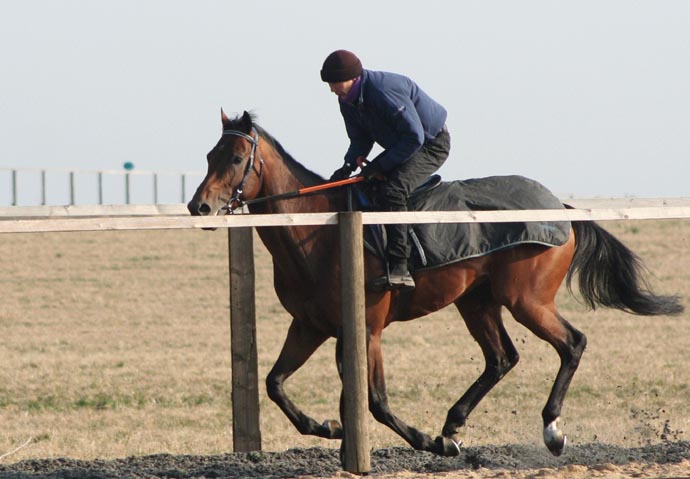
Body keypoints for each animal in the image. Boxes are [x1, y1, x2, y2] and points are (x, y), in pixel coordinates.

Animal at [188, 110, 684, 460]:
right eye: (210, 157)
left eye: (236, 159)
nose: (200, 207)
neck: (318, 230)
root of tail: (561, 207)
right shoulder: (311, 325)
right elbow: (275, 383)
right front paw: (331, 428)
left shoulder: (367, 327)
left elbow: (375, 400)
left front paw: (429, 443)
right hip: (477, 300)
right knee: (502, 357)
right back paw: (454, 422)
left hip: (526, 298)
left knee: (572, 343)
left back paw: (550, 430)